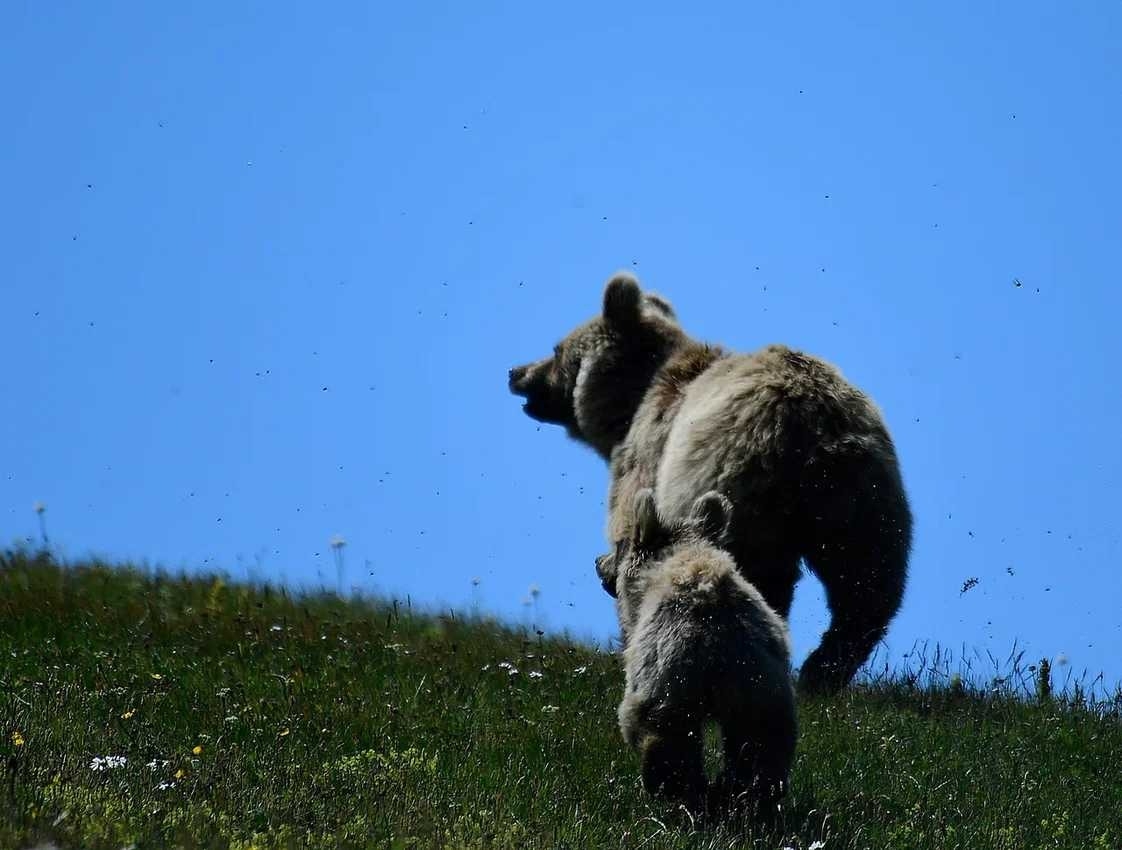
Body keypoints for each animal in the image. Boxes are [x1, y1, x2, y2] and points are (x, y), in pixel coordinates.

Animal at [509, 269, 911, 695]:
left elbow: (633, 528)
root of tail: (810, 423)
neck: (631, 403)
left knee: (755, 571)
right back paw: (822, 672)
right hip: (862, 497)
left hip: (735, 479)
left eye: (556, 349)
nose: (515, 372)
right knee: (866, 587)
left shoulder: (650, 454)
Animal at [610, 488, 794, 816]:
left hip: (668, 674)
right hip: (760, 683)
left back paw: (674, 793)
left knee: (664, 734)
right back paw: (747, 795)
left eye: (621, 545)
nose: (598, 563)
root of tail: (716, 644)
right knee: (760, 742)